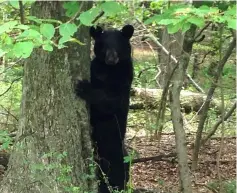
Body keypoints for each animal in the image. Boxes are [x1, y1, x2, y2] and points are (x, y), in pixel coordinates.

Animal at [75, 24, 133, 193]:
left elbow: (110, 101)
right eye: (104, 45)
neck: (109, 70)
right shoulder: (95, 69)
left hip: (115, 157)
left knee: (117, 176)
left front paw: (84, 88)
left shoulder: (124, 79)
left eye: (118, 44)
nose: (111, 59)